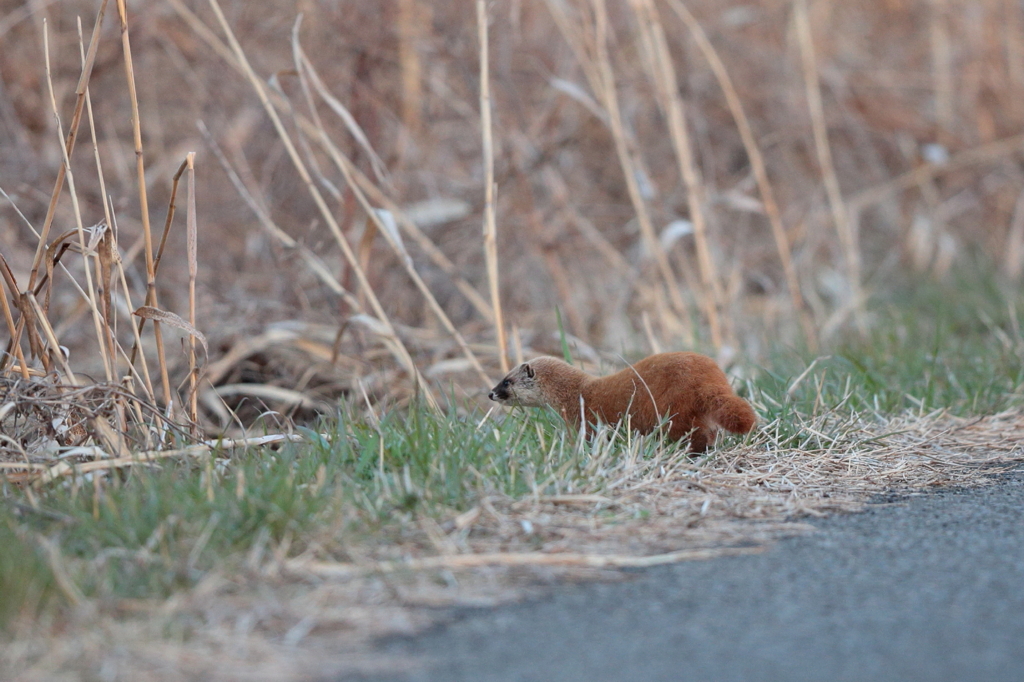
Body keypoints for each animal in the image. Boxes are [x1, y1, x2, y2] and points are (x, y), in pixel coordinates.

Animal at [491, 350, 757, 450]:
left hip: (675, 411)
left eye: (506, 381)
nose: (490, 393)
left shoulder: (586, 423)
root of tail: (711, 377)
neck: (578, 391)